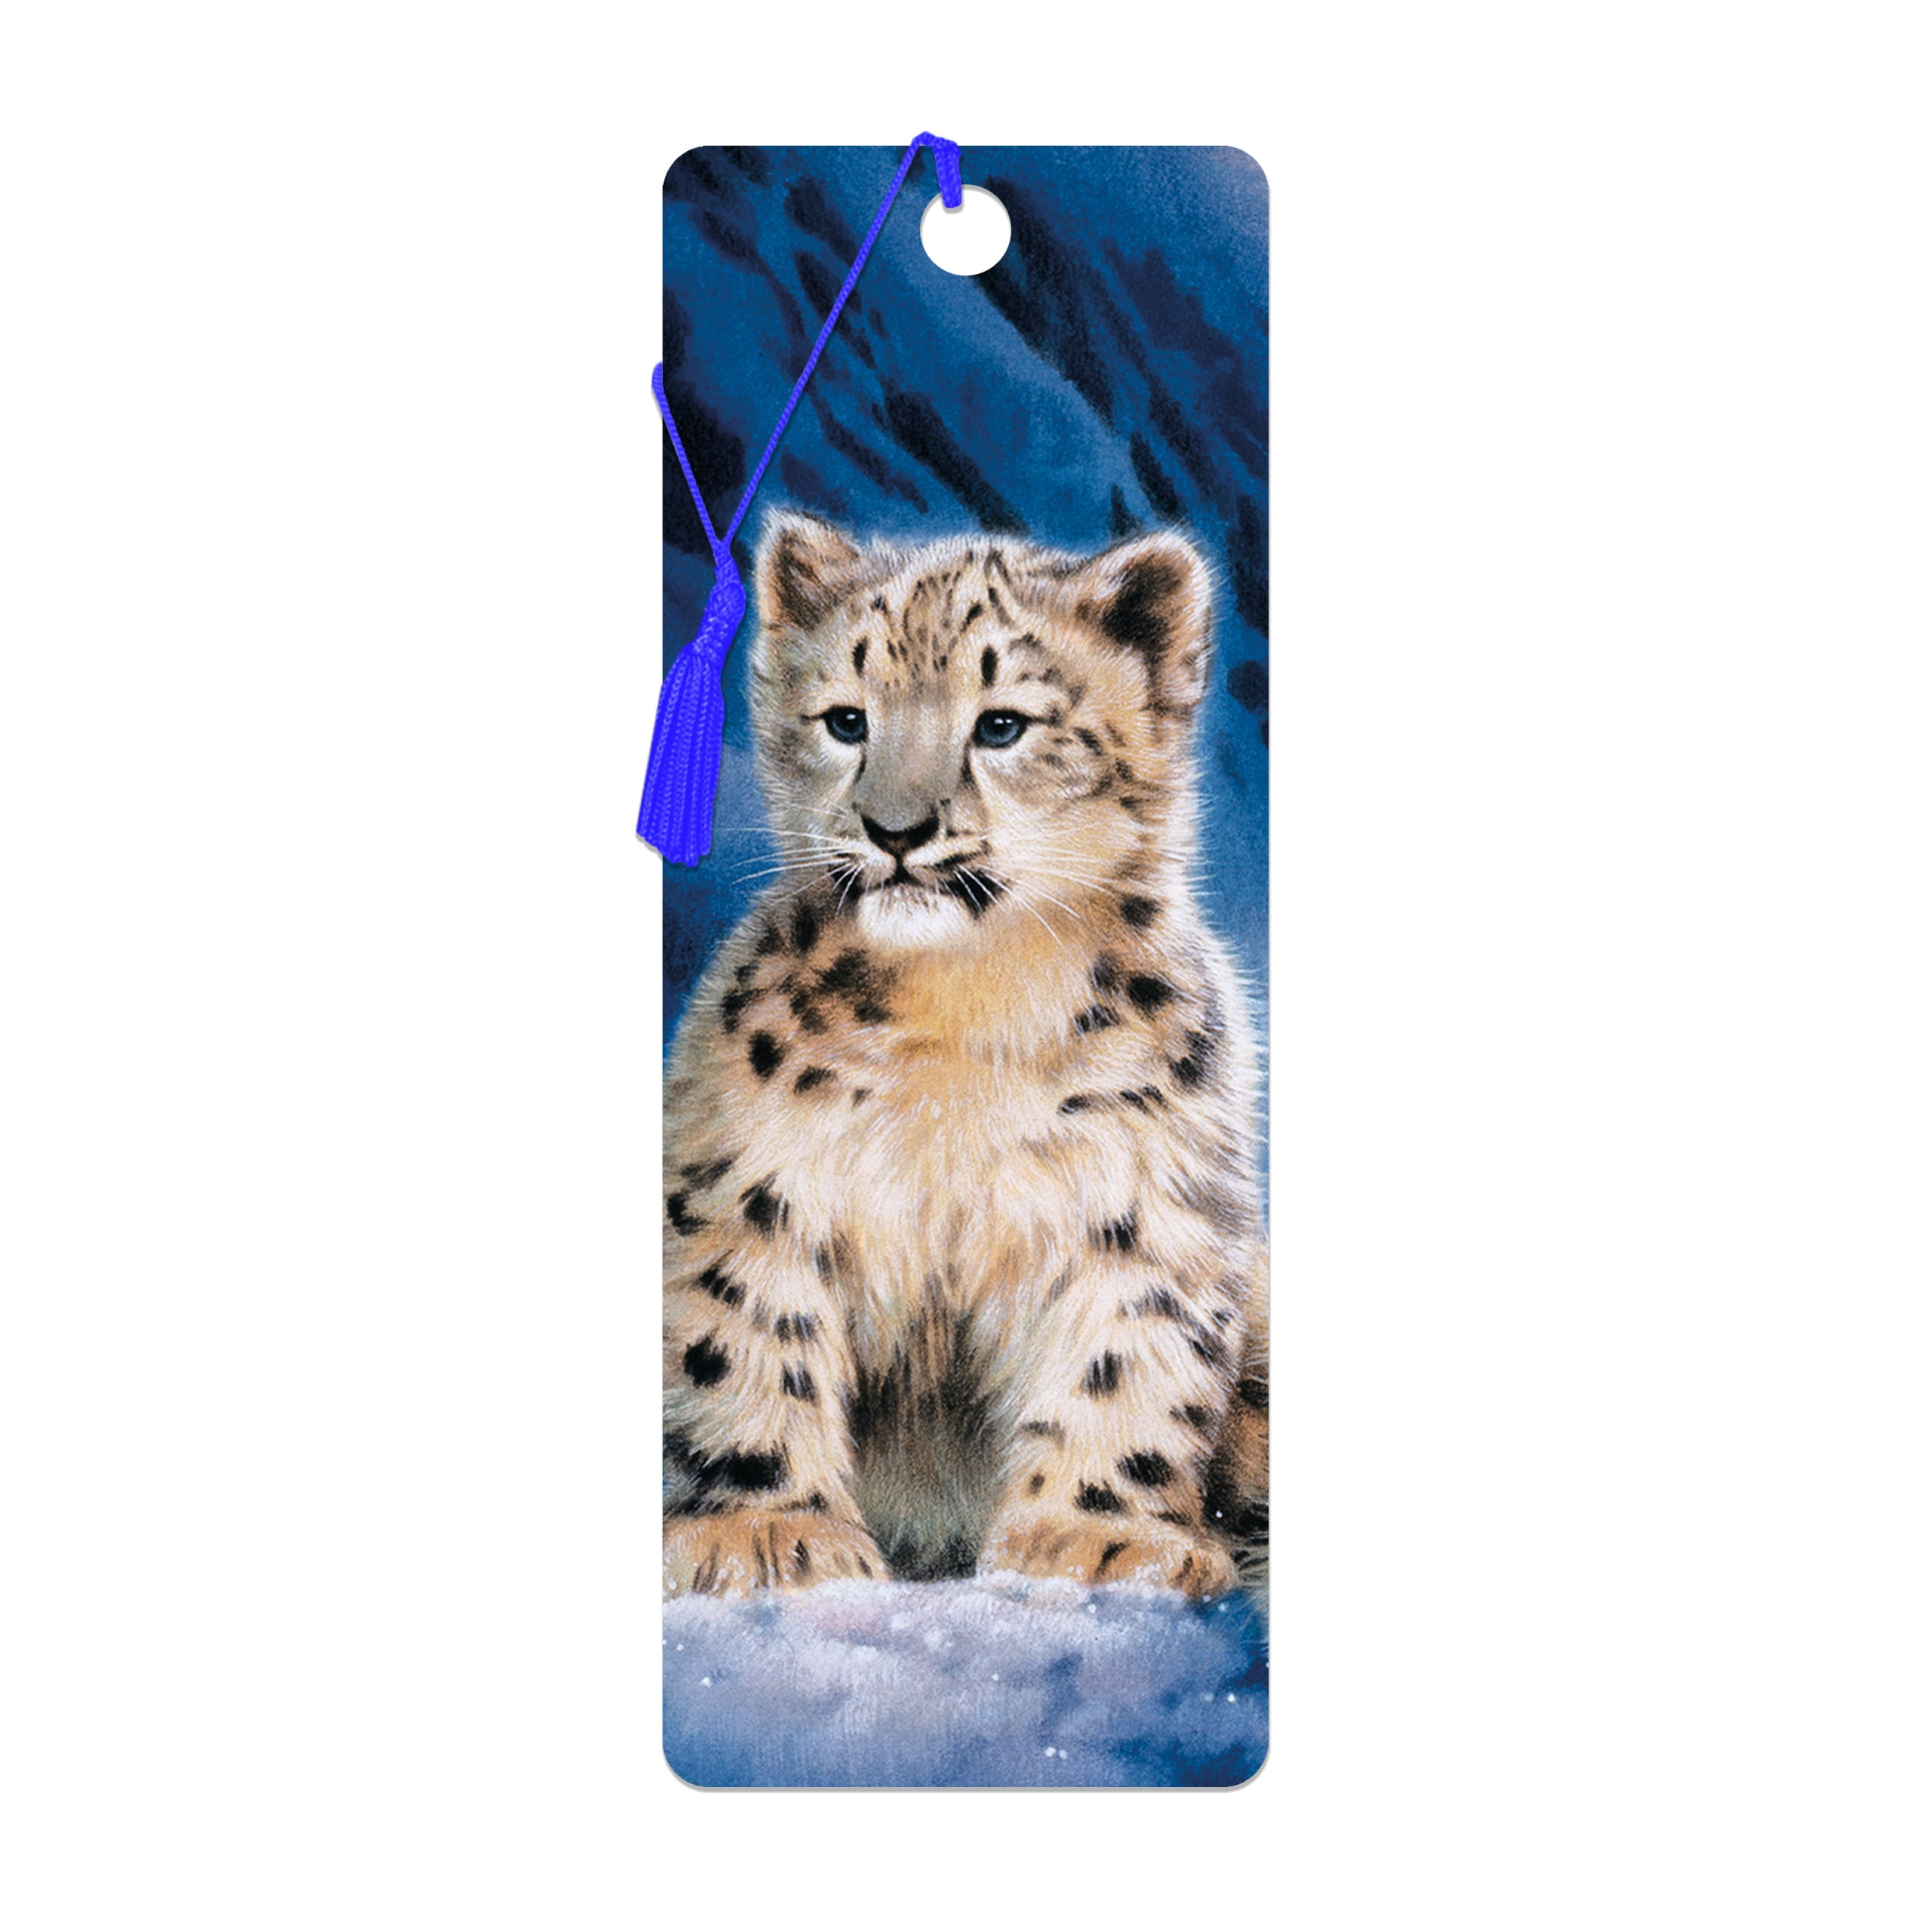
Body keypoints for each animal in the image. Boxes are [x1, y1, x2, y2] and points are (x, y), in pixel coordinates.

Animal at [662, 510, 1267, 1605]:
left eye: (1002, 726)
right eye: (845, 720)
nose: (895, 830)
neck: (965, 1008)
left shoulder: (1149, 1196)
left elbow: (1125, 1360)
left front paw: (1097, 1536)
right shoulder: (755, 1177)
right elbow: (750, 1337)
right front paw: (768, 1531)